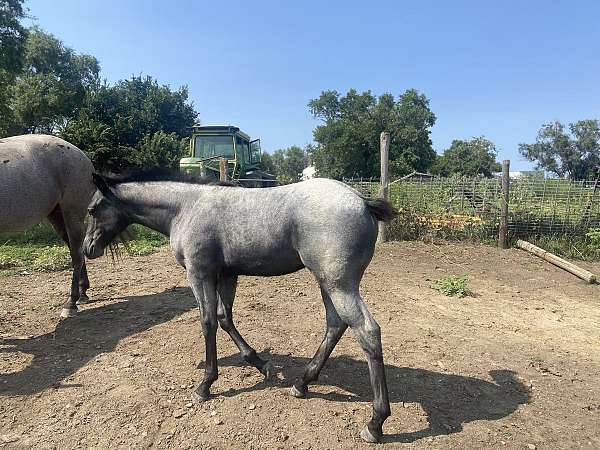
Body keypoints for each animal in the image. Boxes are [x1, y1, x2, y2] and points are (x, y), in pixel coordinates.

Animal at [0, 134, 95, 316]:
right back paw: (82, 294)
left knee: (77, 254)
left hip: (72, 213)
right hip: (56, 216)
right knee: (76, 249)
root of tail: (80, 154)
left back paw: (71, 303)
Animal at [81, 172, 398, 442]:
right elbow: (224, 318)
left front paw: (205, 385)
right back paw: (302, 383)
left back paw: (375, 423)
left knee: (367, 331)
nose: (87, 249)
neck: (186, 208)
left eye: (93, 209)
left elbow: (207, 321)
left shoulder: (199, 274)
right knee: (336, 324)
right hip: (327, 282)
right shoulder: (227, 275)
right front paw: (261, 364)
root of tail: (361, 200)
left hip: (337, 283)